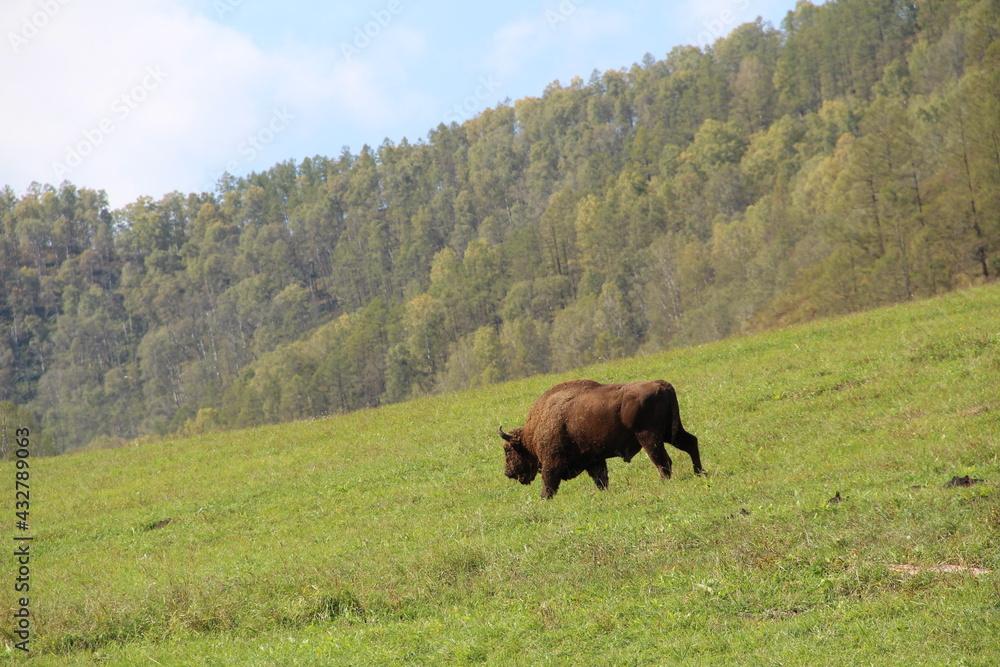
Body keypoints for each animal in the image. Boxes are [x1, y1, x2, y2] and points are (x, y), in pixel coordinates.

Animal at [498, 378, 704, 498]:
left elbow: (549, 482)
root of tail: (662, 384)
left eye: (507, 449)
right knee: (690, 443)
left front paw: (544, 498)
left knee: (663, 460)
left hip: (649, 437)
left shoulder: (552, 462)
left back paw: (664, 482)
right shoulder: (594, 460)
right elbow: (601, 479)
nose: (507, 473)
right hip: (671, 433)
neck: (533, 431)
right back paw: (699, 473)